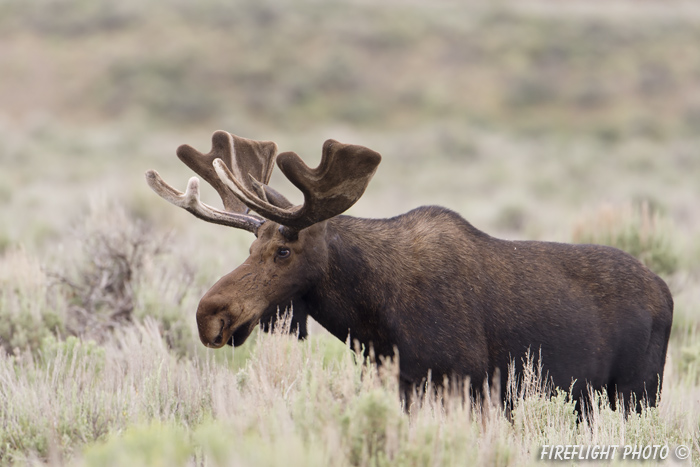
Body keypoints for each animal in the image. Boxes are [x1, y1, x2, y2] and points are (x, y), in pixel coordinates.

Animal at [146, 130, 672, 412]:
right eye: (253, 244)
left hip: (636, 392)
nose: (210, 315)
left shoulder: (463, 384)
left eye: (283, 251)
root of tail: (667, 294)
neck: (372, 318)